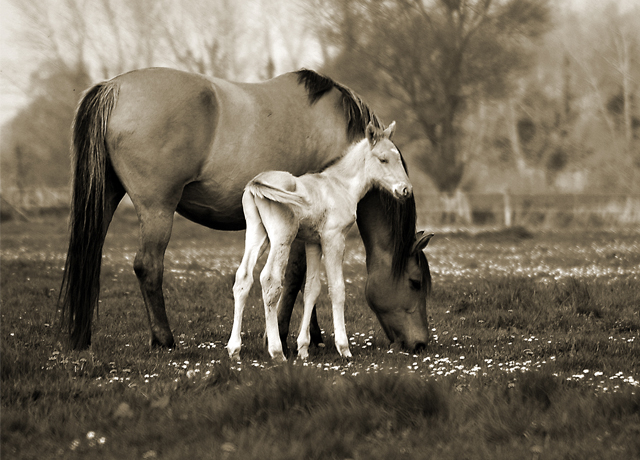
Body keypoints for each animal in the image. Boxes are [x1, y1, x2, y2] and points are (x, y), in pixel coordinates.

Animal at [228, 123, 412, 362]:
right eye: (383, 159)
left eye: (397, 157)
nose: (406, 190)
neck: (340, 186)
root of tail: (255, 182)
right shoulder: (334, 238)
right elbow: (337, 289)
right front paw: (344, 348)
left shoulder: (313, 242)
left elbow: (311, 289)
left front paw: (304, 348)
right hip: (281, 237)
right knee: (270, 280)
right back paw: (276, 351)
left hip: (257, 234)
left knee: (243, 278)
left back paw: (234, 350)